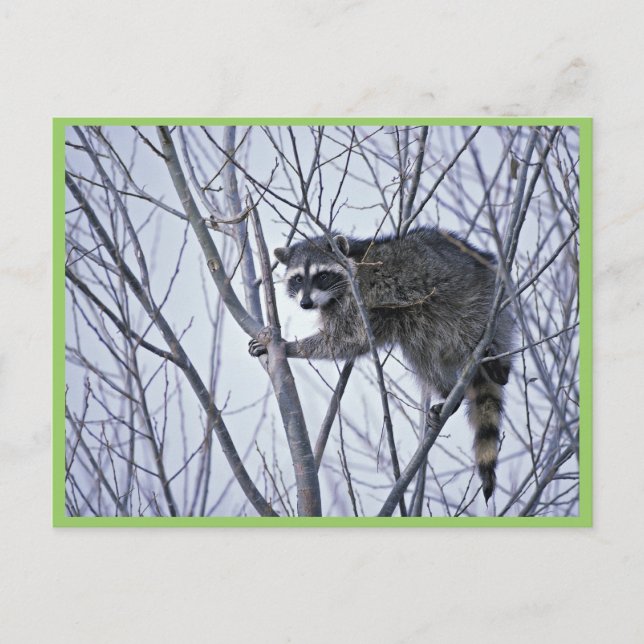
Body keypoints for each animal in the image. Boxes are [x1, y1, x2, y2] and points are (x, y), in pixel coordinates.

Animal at [249, 226, 515, 502]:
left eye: (322, 275)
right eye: (298, 279)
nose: (306, 304)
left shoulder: (359, 299)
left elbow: (347, 339)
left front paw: (289, 346)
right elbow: (352, 342)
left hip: (476, 303)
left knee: (467, 329)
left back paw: (498, 367)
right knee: (420, 352)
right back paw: (448, 391)